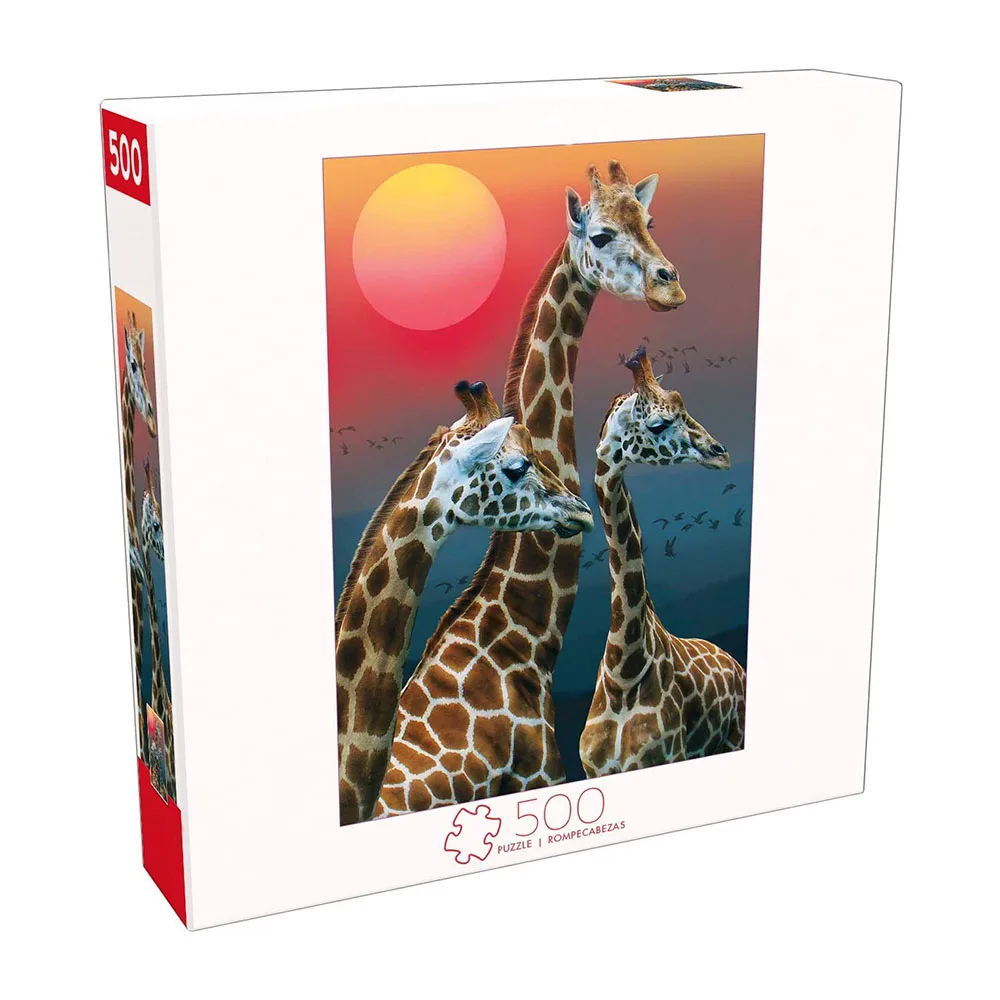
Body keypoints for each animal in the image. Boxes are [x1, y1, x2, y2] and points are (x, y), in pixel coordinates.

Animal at [579, 346, 746, 776]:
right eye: (657, 424)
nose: (721, 454)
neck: (624, 671)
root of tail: (734, 661)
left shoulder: (667, 755)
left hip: (733, 739)